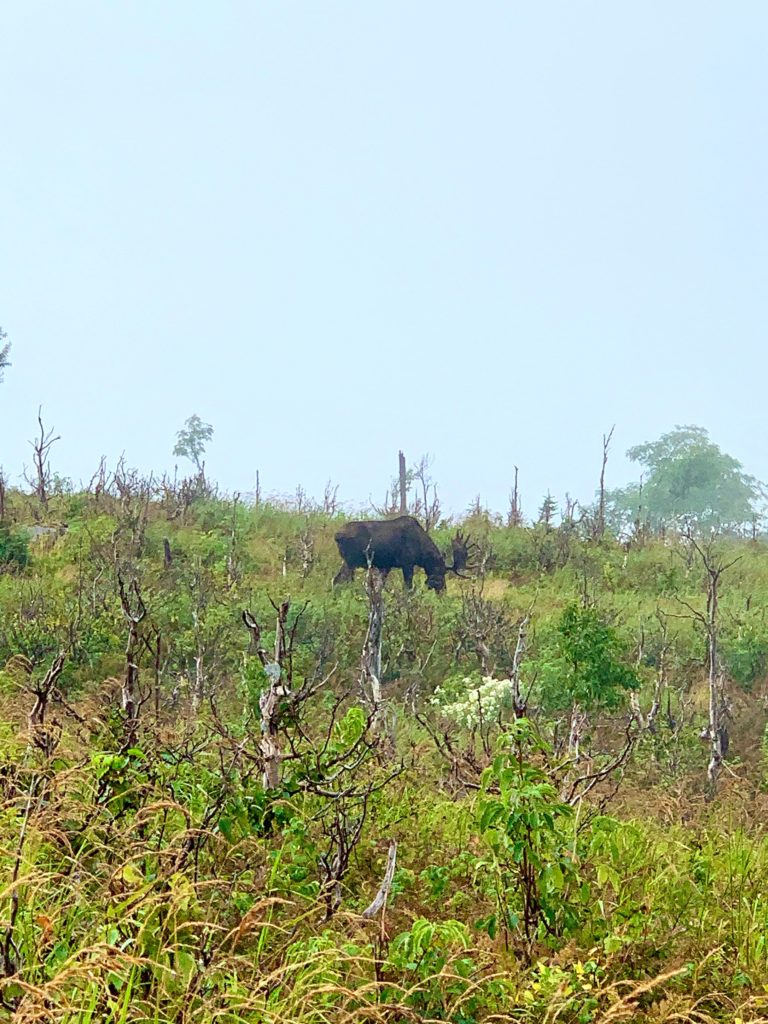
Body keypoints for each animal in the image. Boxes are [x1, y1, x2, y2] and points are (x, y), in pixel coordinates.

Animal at [333, 516, 473, 598]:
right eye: (441, 572)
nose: (444, 592)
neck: (422, 554)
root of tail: (337, 536)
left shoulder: (387, 565)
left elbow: (381, 586)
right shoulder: (407, 563)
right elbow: (408, 588)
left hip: (347, 561)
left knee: (336, 579)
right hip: (351, 560)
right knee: (341, 579)